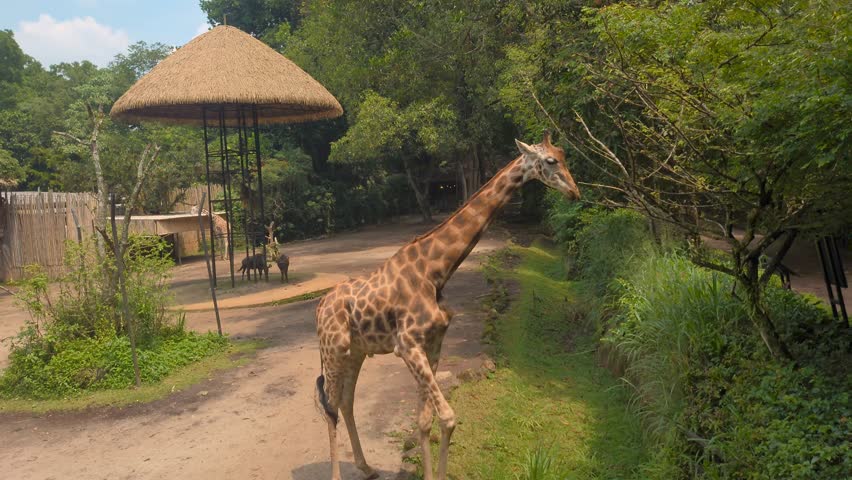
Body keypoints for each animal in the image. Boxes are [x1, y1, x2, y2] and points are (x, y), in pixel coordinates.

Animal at [314, 132, 580, 480]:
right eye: (550, 161)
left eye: (564, 155)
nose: (574, 192)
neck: (435, 272)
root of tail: (319, 307)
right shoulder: (407, 345)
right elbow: (448, 417)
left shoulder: (434, 342)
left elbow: (426, 420)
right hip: (333, 349)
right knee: (330, 407)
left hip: (356, 351)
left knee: (346, 401)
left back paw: (366, 467)